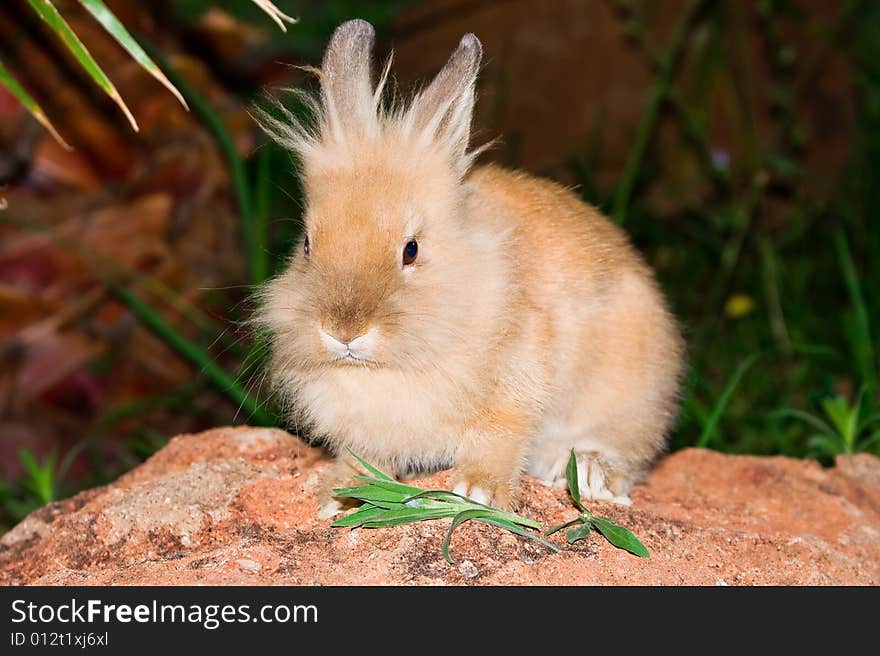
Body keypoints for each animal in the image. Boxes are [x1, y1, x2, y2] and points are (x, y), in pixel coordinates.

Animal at [256, 19, 688, 516]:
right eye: (308, 244)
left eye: (410, 250)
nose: (343, 333)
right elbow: (361, 458)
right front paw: (343, 498)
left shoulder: (515, 388)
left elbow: (499, 438)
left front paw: (478, 491)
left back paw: (588, 472)